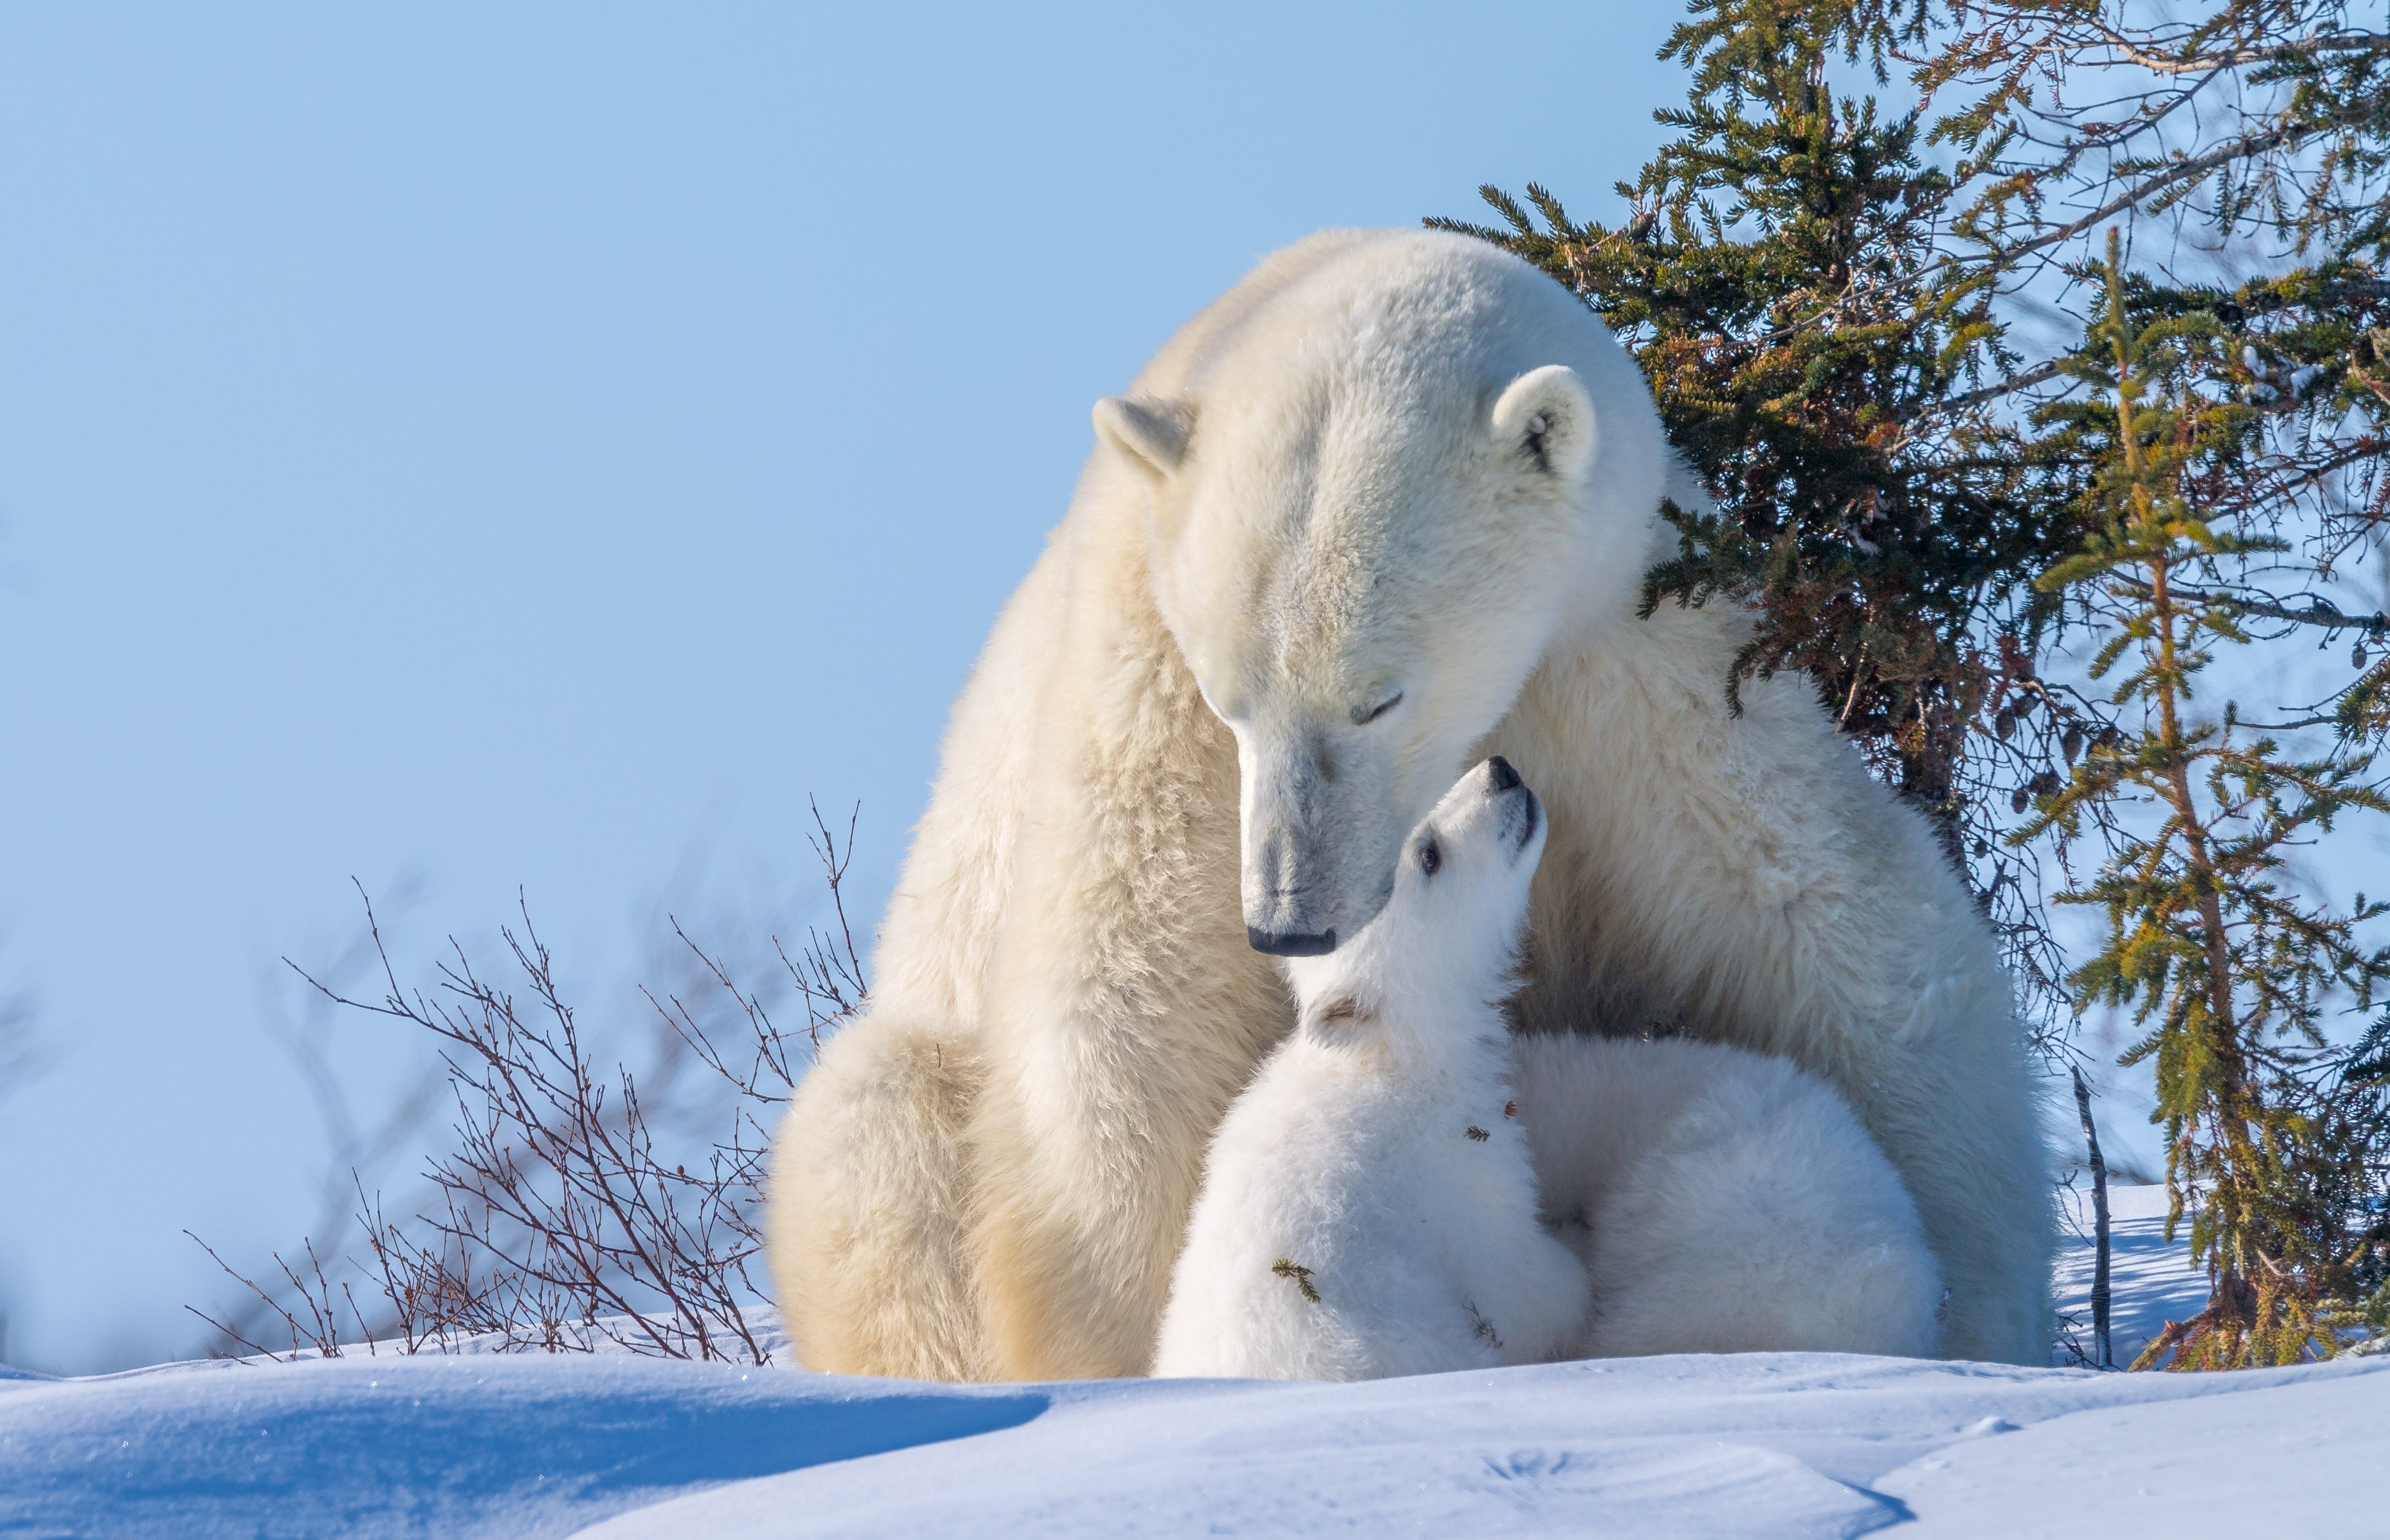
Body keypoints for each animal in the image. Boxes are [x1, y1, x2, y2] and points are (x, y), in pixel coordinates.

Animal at [1152, 758, 1944, 1381]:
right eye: (1428, 855)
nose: (1500, 770)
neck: (1395, 1052)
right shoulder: (1456, 1169)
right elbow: (1520, 1280)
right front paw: (1567, 1269)